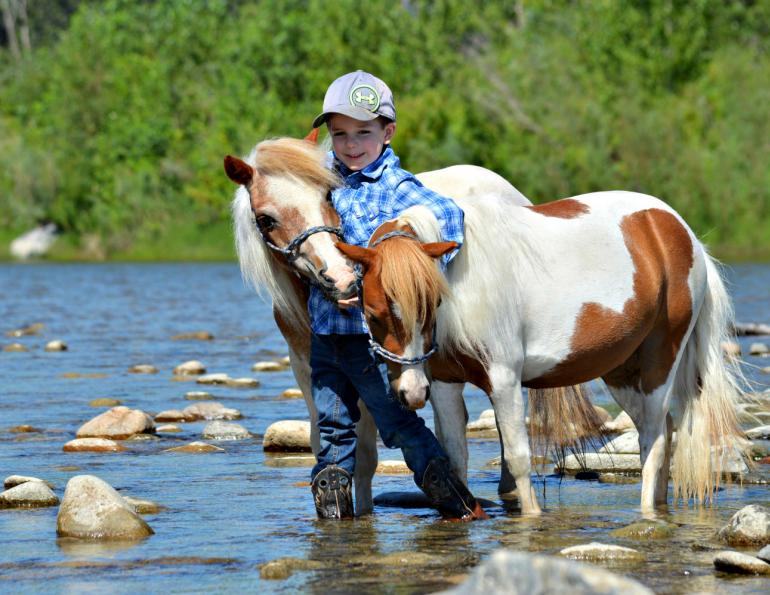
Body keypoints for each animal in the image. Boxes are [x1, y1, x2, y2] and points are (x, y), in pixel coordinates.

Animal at [336, 191, 750, 515]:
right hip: (621, 372)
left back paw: (647, 511)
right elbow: (454, 458)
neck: (463, 281)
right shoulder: (443, 383)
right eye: (374, 313)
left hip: (660, 362)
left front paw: (531, 518)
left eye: (432, 303)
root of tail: (679, 231)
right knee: (663, 430)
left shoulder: (503, 378)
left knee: (655, 440)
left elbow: (519, 457)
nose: (410, 393)